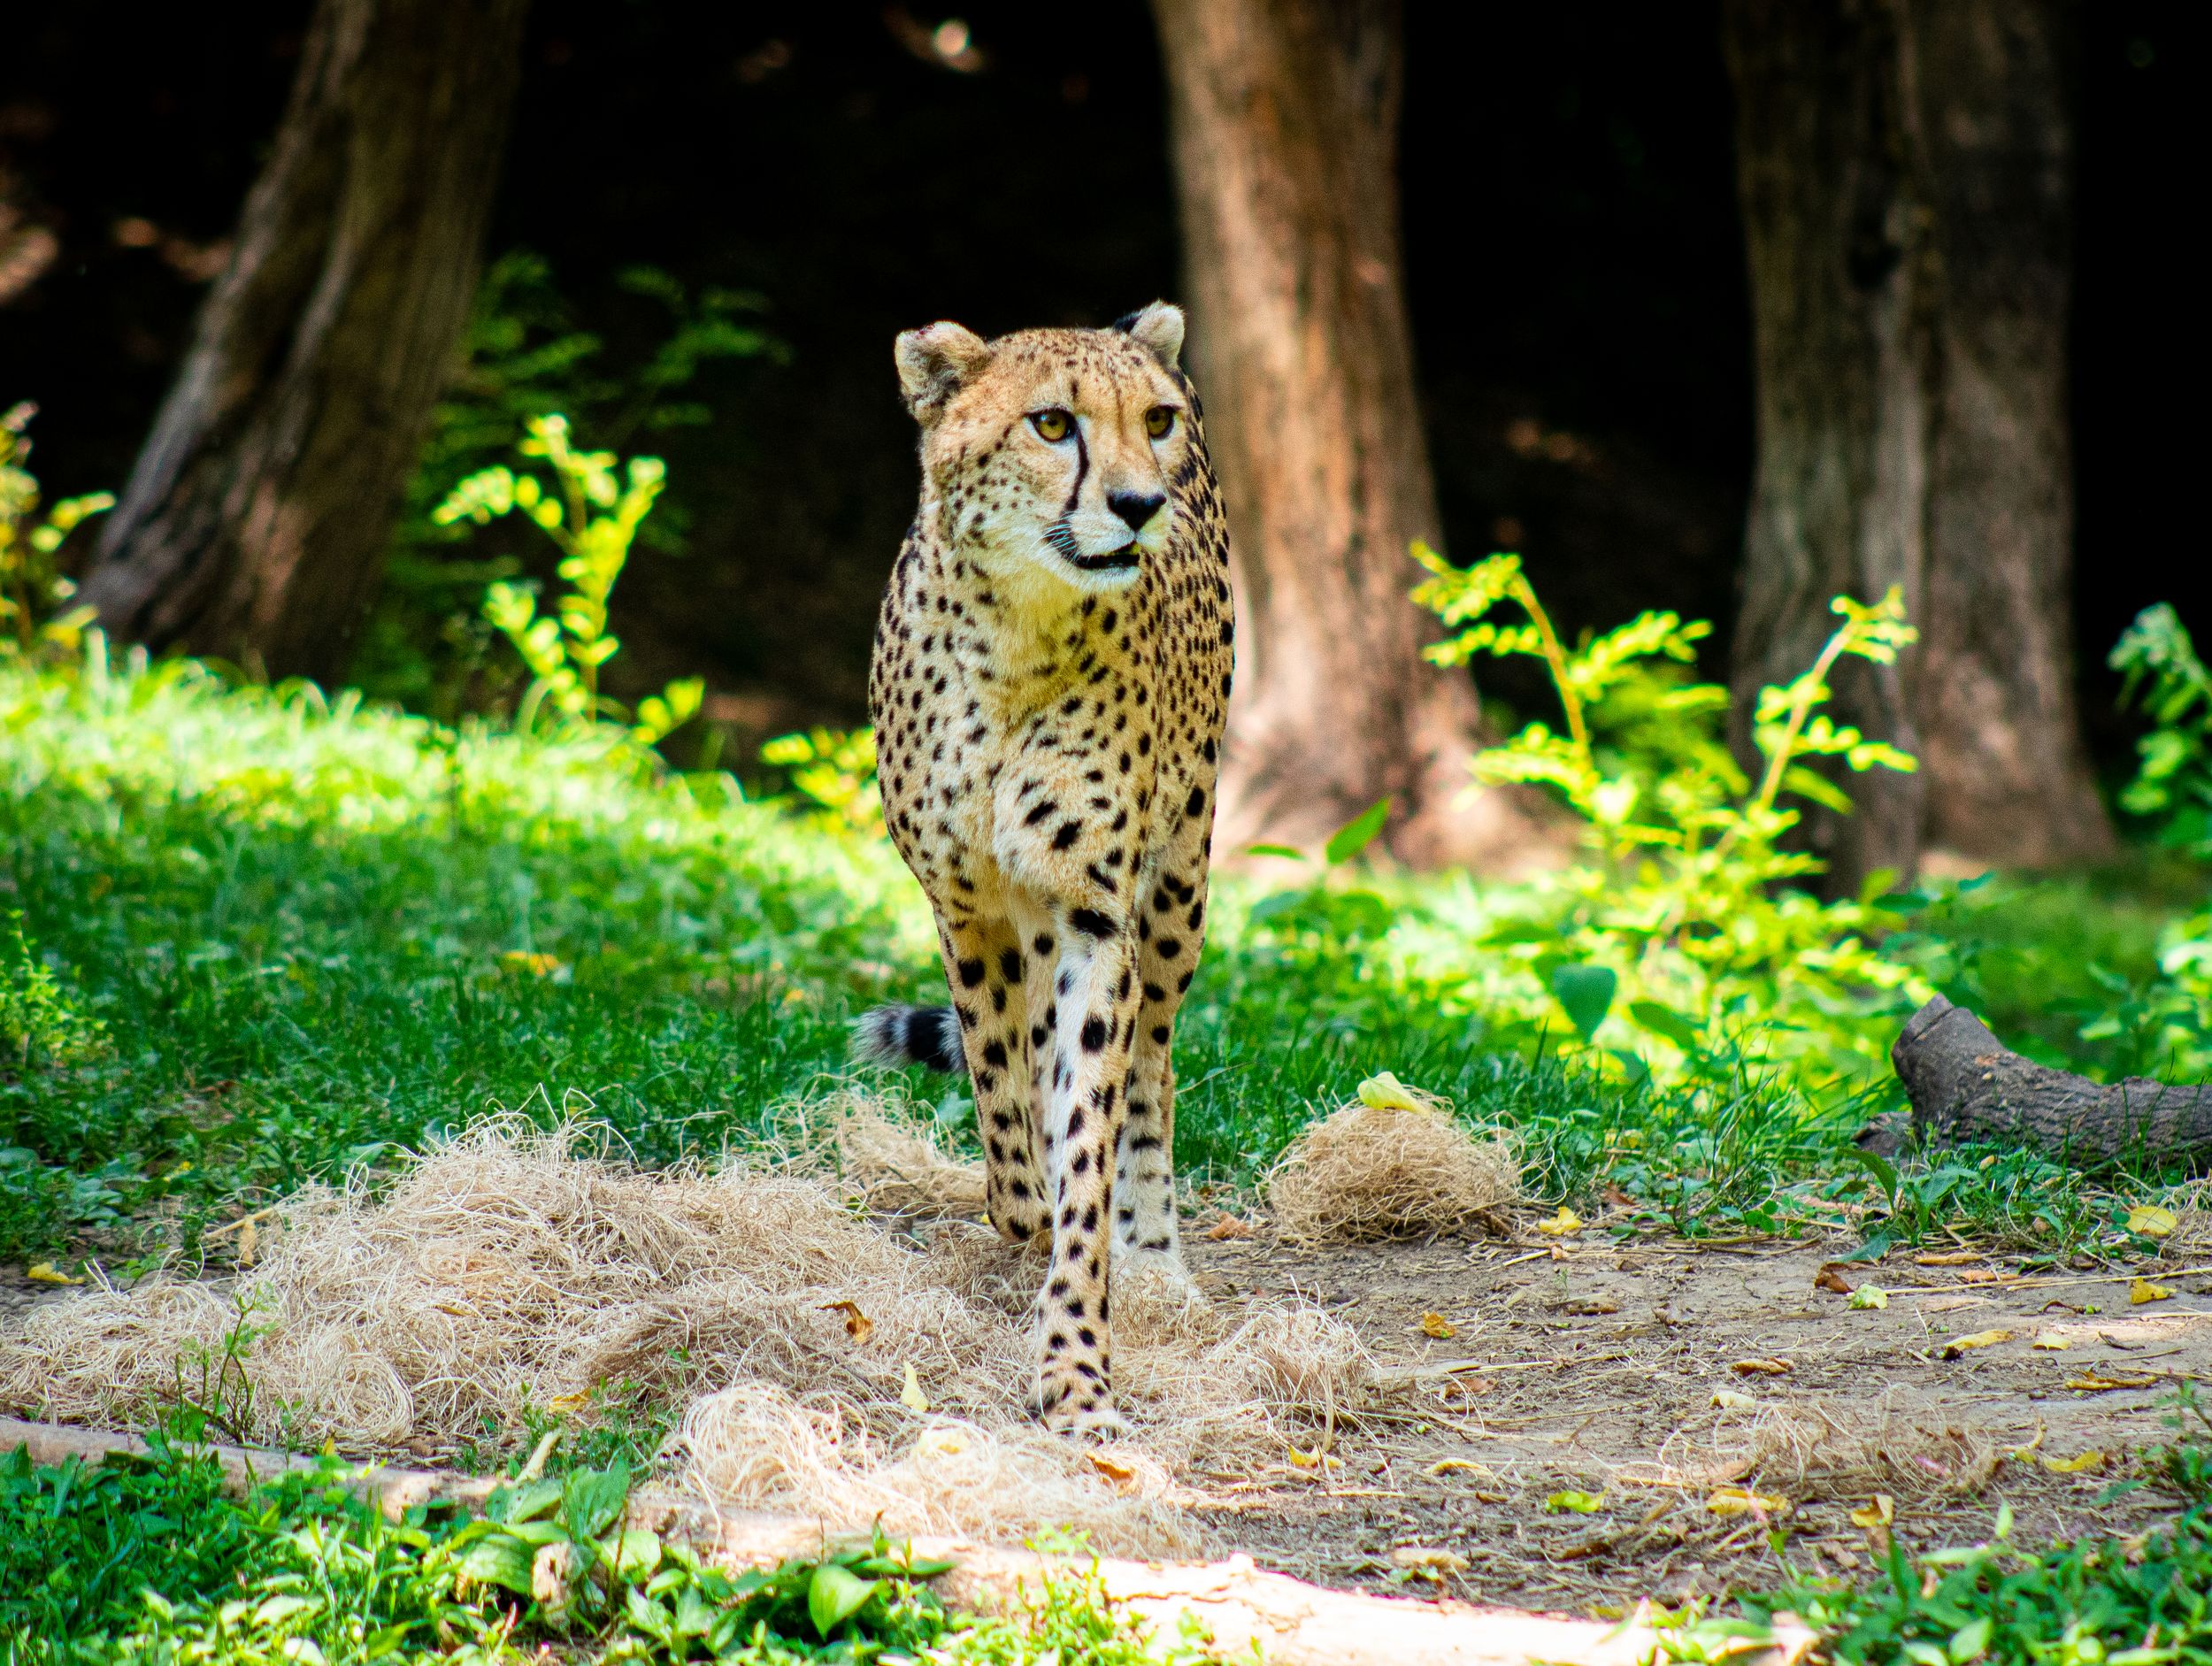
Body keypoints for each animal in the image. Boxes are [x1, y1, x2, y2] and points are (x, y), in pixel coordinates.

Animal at [852, 301, 1234, 1437]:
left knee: (1151, 1065)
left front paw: (1076, 1369)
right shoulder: (964, 905)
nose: (1139, 503)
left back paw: (1155, 1259)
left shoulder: (1095, 916)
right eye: (1052, 423)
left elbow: (1089, 1134)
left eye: (1153, 420)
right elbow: (1002, 1098)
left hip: (1179, 883)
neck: (1017, 636)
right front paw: (1018, 1216)